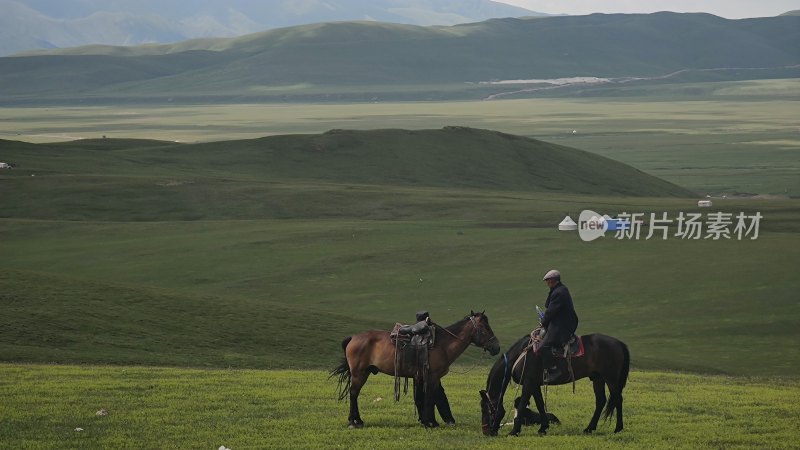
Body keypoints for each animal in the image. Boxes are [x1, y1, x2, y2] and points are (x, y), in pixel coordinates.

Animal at [328, 312, 496, 428]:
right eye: (486, 328)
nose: (497, 347)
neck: (442, 344)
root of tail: (353, 338)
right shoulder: (432, 377)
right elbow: (430, 397)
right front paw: (431, 422)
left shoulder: (427, 378)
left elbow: (429, 397)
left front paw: (428, 420)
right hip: (359, 374)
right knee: (353, 394)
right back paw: (354, 421)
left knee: (354, 394)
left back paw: (357, 420)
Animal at [478, 332, 628, 434]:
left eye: (485, 409)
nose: (486, 432)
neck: (520, 355)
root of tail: (619, 343)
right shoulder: (535, 384)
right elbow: (539, 403)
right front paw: (543, 427)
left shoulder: (528, 383)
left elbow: (522, 405)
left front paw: (514, 431)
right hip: (598, 379)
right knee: (601, 401)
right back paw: (589, 428)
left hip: (611, 378)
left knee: (617, 399)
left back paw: (618, 428)